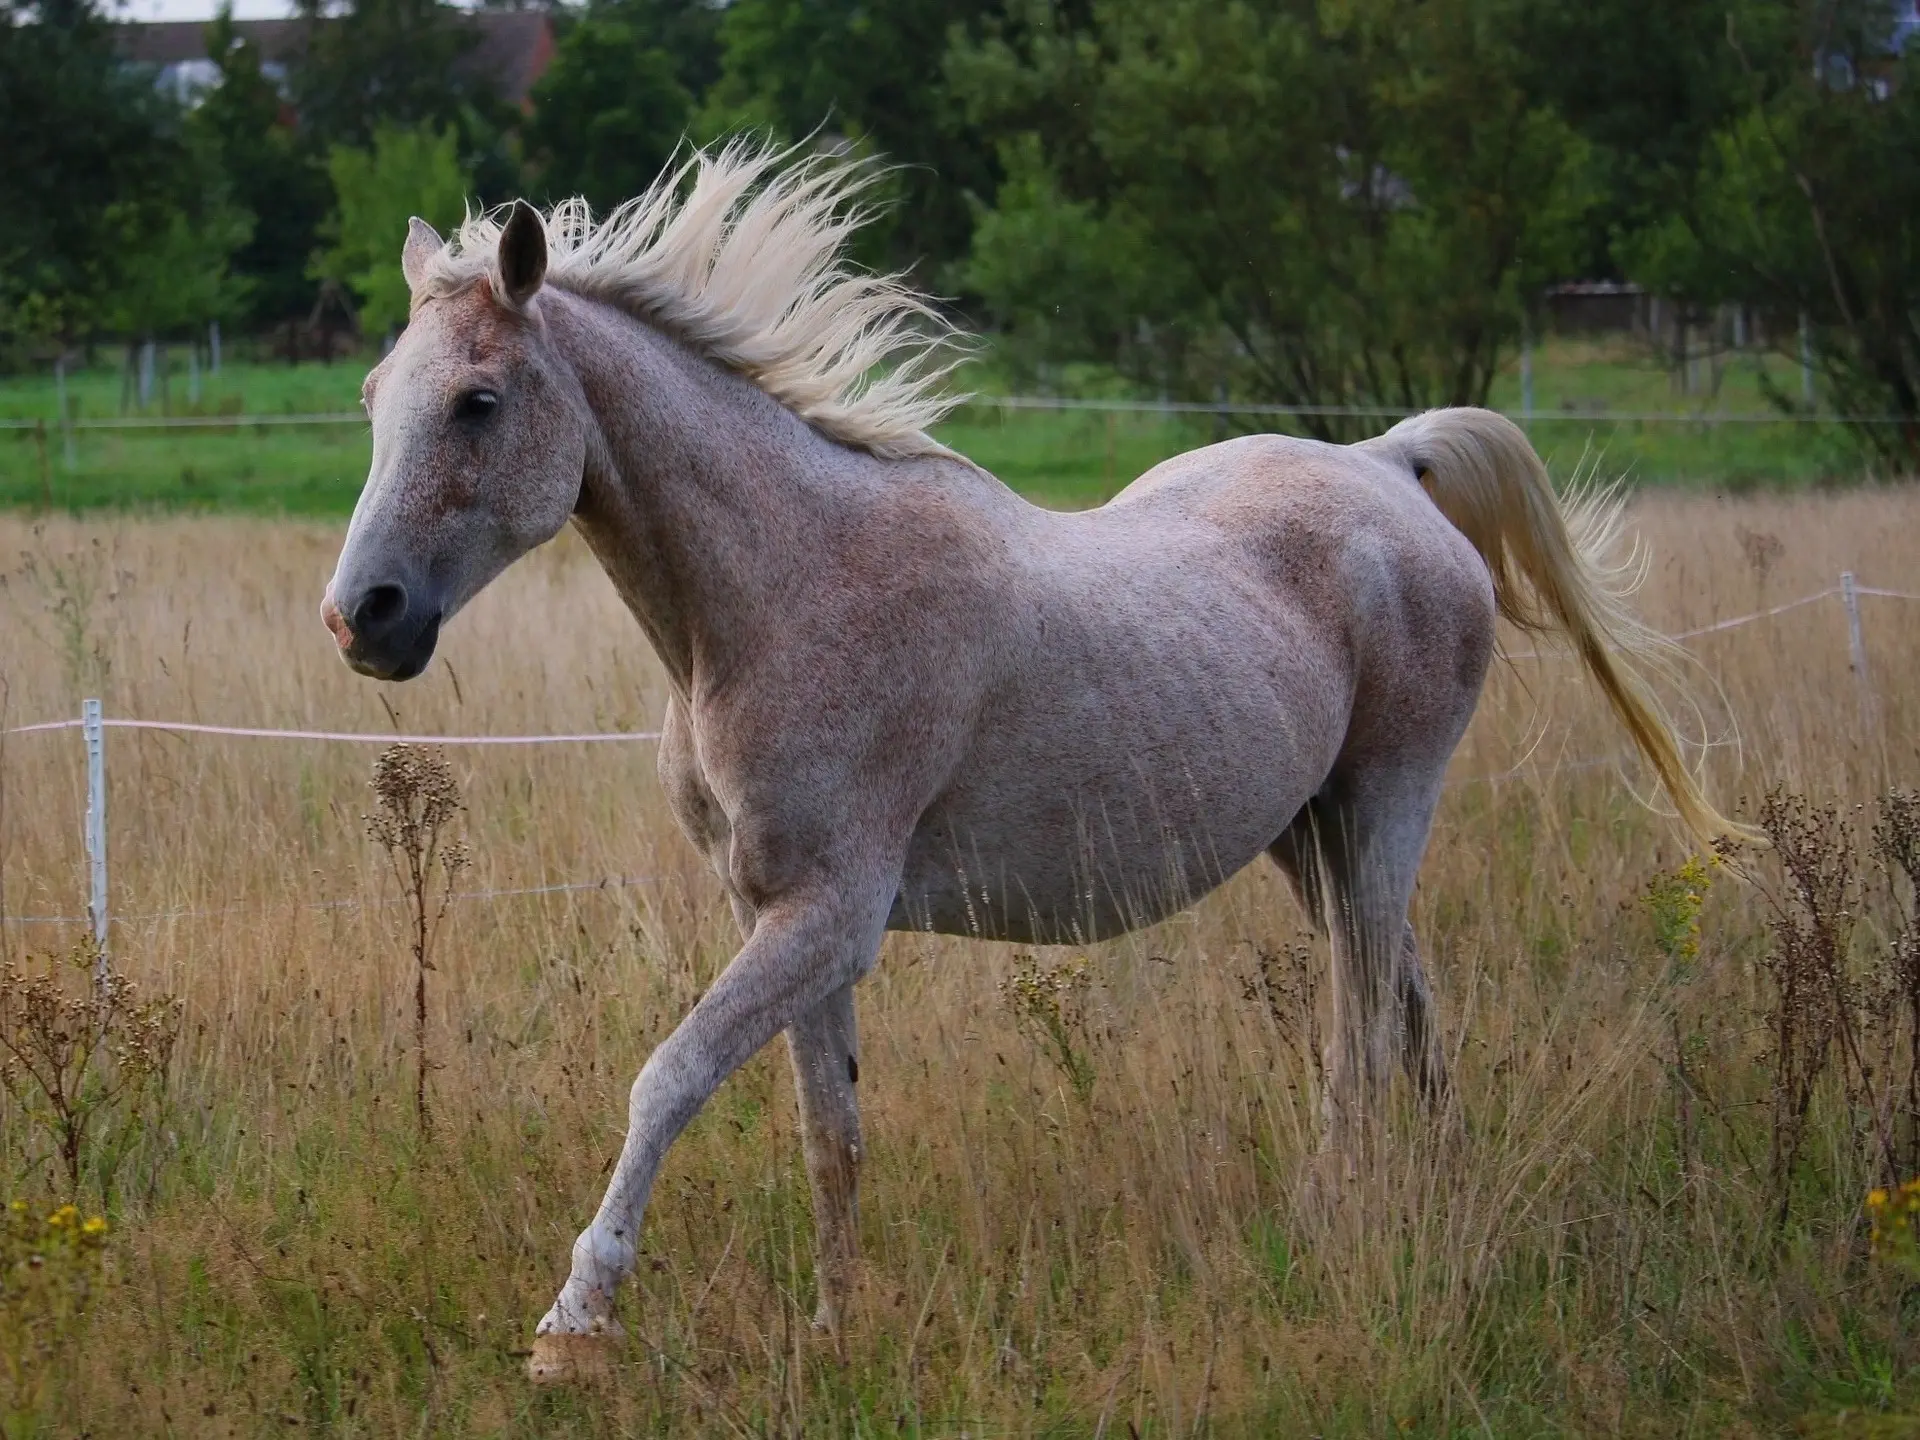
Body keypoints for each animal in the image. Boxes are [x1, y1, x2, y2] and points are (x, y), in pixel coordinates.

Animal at [318, 141, 1743, 1382]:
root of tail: (1391, 462)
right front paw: (836, 1333)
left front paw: (572, 1329)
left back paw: (1334, 1222)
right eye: (375, 400)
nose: (362, 618)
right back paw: (1437, 1199)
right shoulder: (781, 914)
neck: (785, 592)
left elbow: (666, 1081)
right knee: (1410, 1003)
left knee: (1360, 1034)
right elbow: (828, 1133)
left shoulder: (828, 916)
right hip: (1311, 832)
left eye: (479, 402)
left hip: (1390, 805)